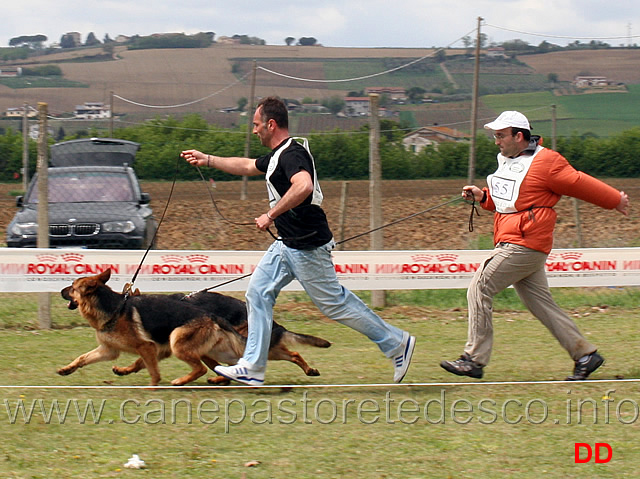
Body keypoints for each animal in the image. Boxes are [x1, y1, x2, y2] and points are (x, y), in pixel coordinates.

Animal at [57, 270, 332, 386]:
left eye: (72, 287)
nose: (60, 290)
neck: (113, 307)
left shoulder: (149, 346)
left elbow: (150, 369)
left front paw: (151, 386)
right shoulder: (112, 350)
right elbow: (83, 358)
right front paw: (67, 369)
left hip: (186, 343)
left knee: (207, 367)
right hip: (215, 350)